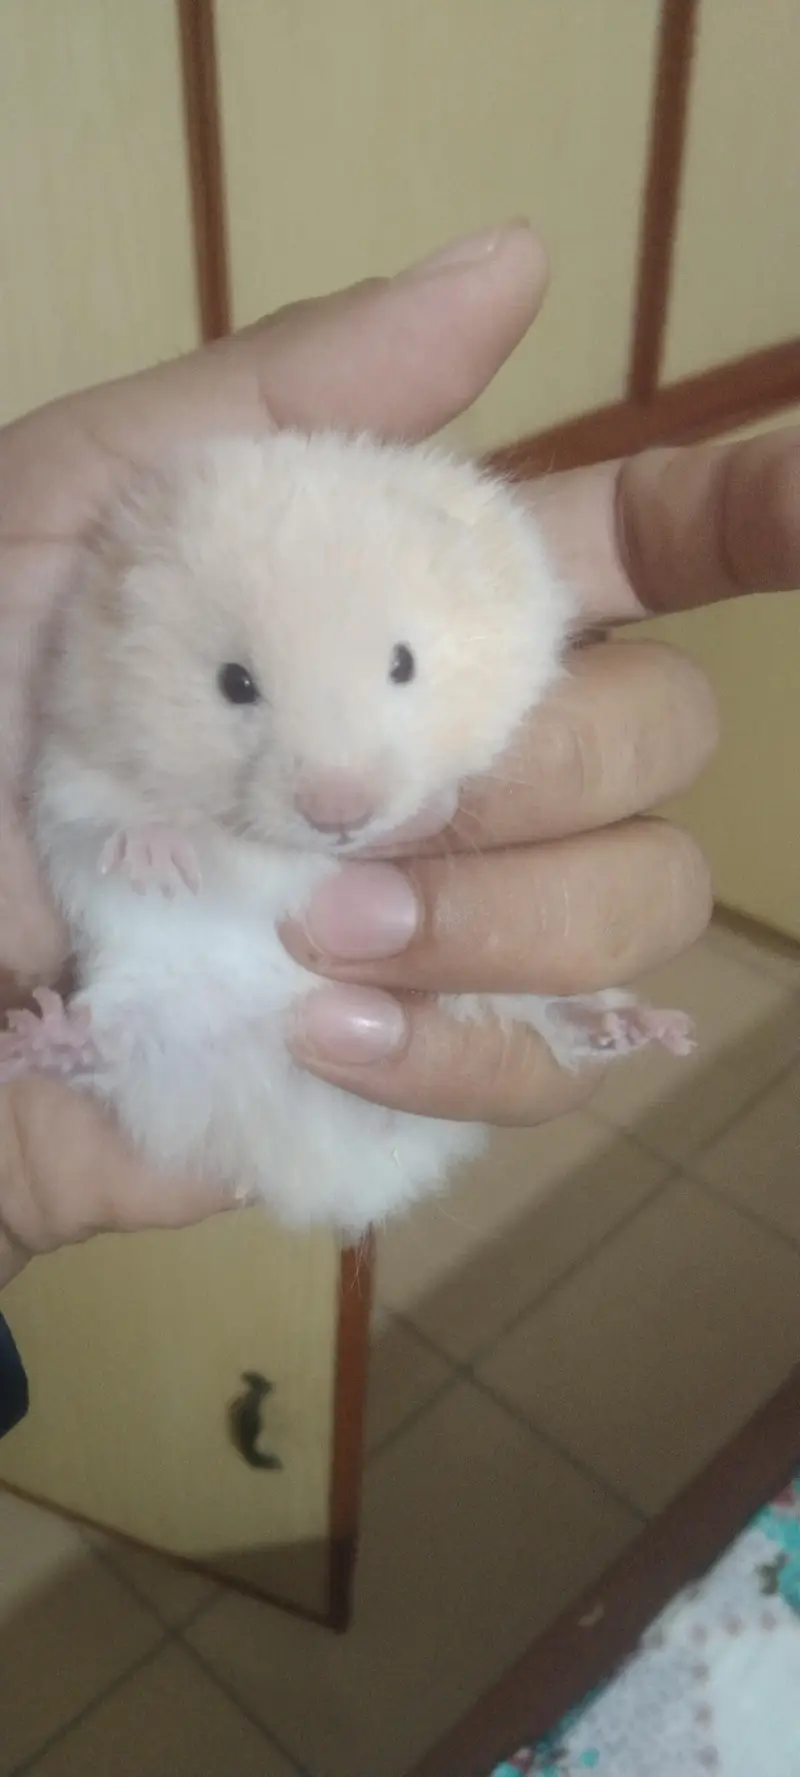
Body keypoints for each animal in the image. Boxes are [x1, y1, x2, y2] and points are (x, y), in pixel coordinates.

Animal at [0, 430, 693, 1239]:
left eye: (404, 663)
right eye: (234, 682)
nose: (340, 815)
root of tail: (343, 1172)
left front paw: (434, 806)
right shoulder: (69, 758)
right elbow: (104, 816)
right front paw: (159, 862)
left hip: (500, 987)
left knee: (552, 1014)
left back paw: (649, 1028)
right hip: (157, 1013)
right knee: (110, 1047)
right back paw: (38, 1037)